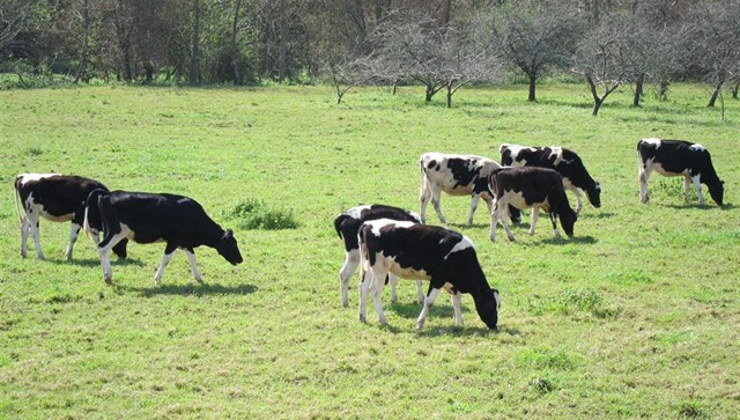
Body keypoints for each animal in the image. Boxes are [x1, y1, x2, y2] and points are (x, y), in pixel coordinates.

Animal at [85, 190, 243, 286]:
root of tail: (108, 194)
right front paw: (157, 279)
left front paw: (199, 277)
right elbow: (166, 259)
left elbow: (192, 258)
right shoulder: (173, 241)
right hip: (116, 232)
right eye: (231, 244)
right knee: (102, 248)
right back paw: (108, 276)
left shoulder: (185, 242)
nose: (241, 259)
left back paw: (106, 275)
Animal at [356, 220, 500, 332]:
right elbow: (429, 301)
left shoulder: (452, 284)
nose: (494, 326)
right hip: (380, 269)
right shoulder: (438, 279)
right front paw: (420, 323)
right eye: (492, 305)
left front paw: (460, 323)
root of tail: (368, 224)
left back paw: (362, 317)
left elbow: (457, 302)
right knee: (375, 292)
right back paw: (383, 319)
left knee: (363, 288)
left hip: (368, 266)